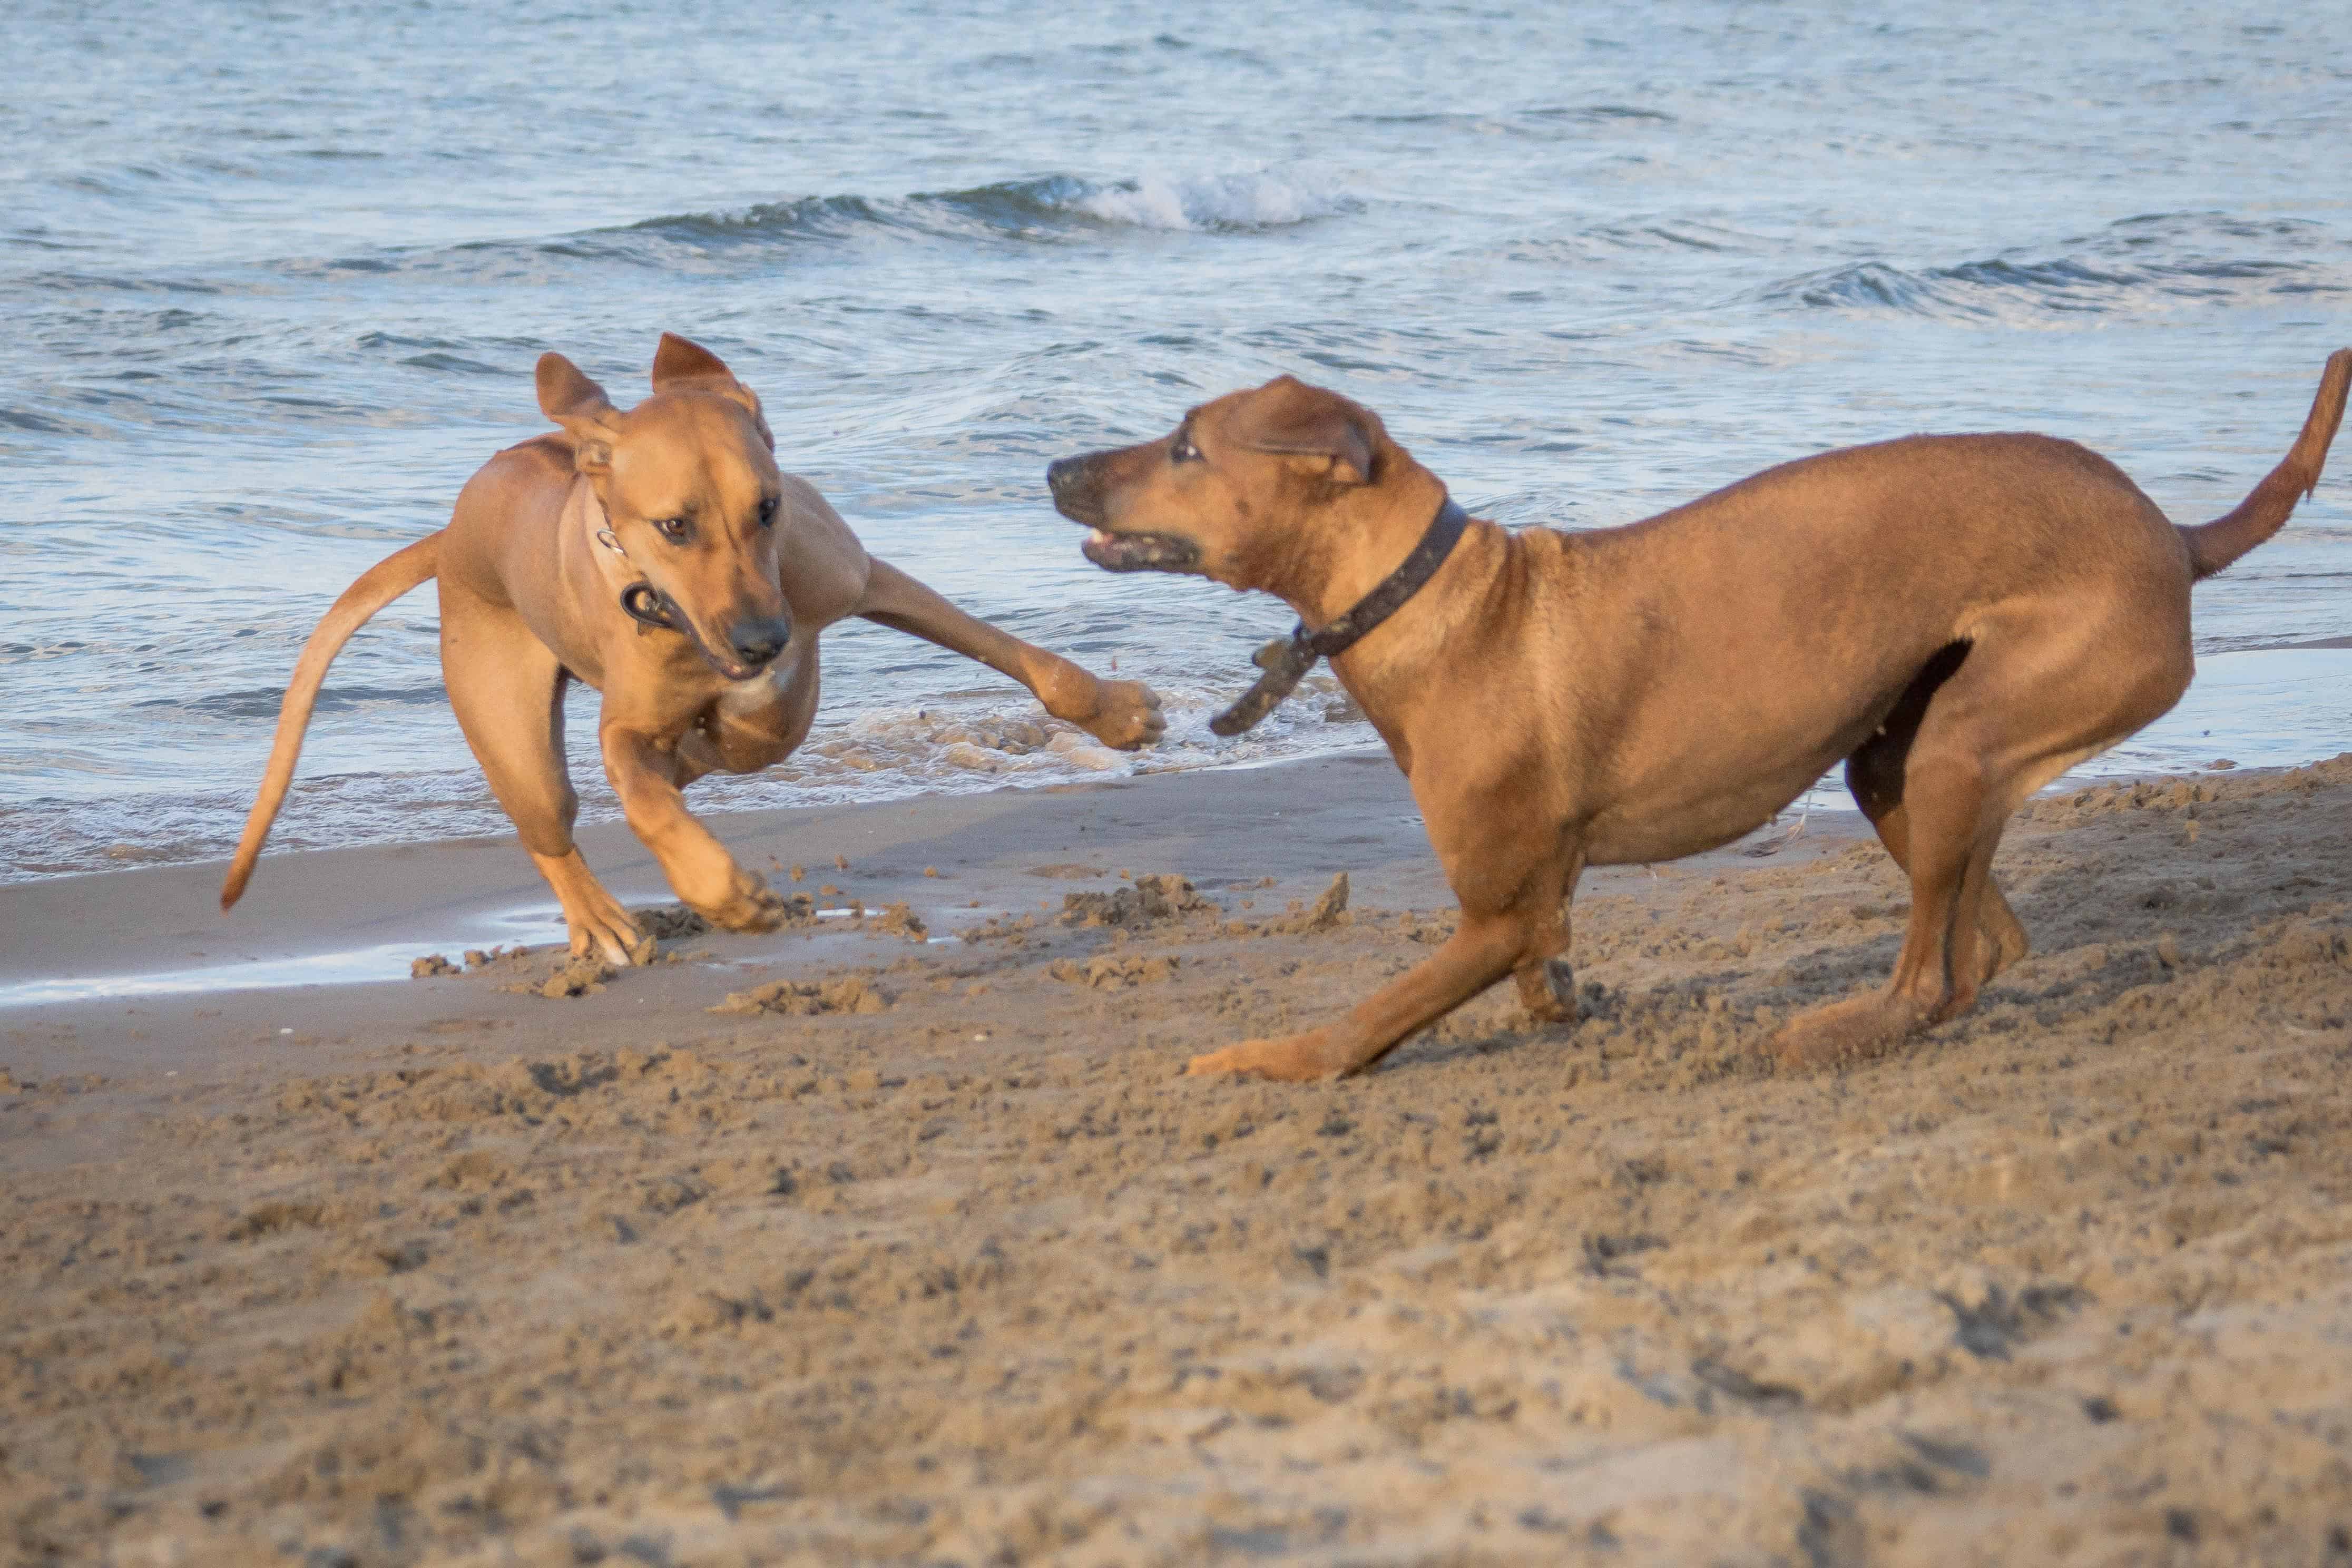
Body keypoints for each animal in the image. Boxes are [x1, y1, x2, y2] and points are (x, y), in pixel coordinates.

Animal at [224, 334, 1162, 959]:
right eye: (675, 526)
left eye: (768, 508)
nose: (761, 642)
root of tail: (451, 536)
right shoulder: (627, 729)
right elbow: (643, 797)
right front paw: (729, 896)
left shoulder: (861, 582)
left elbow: (1024, 660)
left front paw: (1117, 713)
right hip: (508, 722)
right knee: (550, 826)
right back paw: (600, 922)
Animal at [1053, 350, 2352, 1081]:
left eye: (1184, 446)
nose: (1058, 468)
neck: (1434, 596)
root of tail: (2172, 535)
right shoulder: (1533, 914)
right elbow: (1543, 979)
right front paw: (1563, 1010)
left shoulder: (1496, 917)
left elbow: (1359, 1025)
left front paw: (1257, 1060)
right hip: (1902, 762)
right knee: (1983, 948)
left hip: (1963, 743)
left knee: (1929, 980)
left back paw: (1827, 1036)